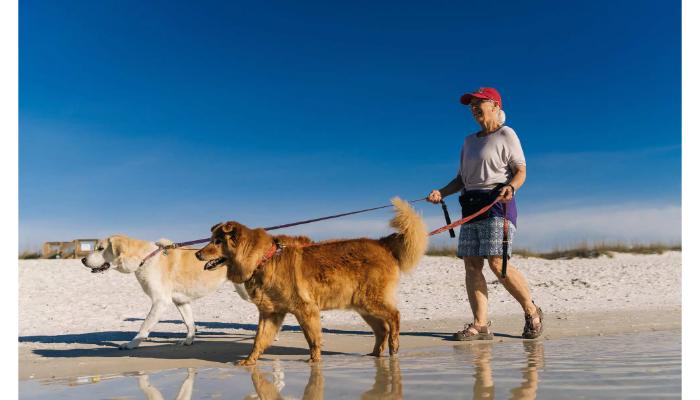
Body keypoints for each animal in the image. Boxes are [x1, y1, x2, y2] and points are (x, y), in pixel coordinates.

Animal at [194, 198, 430, 366]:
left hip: (370, 300)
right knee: (382, 329)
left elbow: (312, 339)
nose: (197, 254)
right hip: (363, 306)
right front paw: (249, 361)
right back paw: (374, 355)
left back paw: (394, 345)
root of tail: (382, 243)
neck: (264, 258)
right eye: (211, 240)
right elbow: (258, 340)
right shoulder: (271, 314)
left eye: (217, 241)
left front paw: (315, 362)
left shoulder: (306, 310)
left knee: (394, 317)